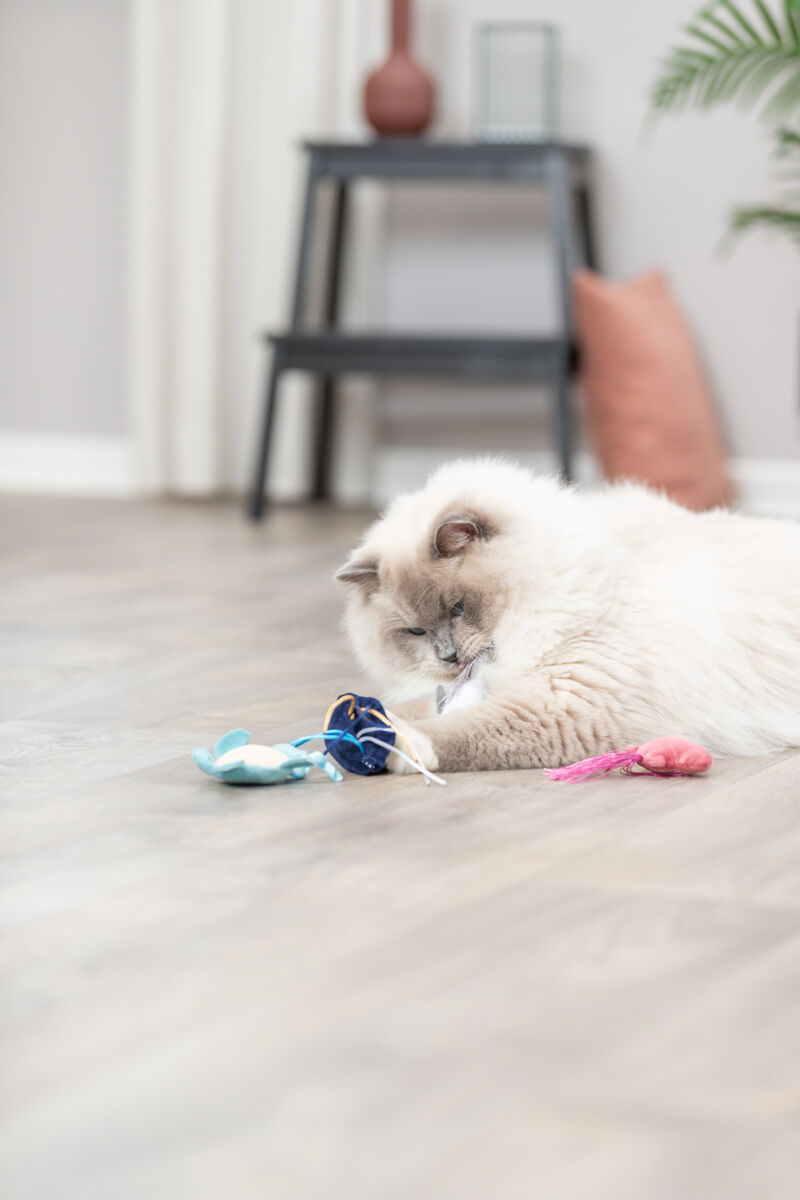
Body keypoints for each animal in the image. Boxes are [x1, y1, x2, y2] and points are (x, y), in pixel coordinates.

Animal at [333, 453, 800, 772]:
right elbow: (415, 707)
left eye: (459, 608)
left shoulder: (567, 704)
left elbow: (458, 730)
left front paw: (390, 742)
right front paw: (354, 725)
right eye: (416, 632)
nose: (448, 657)